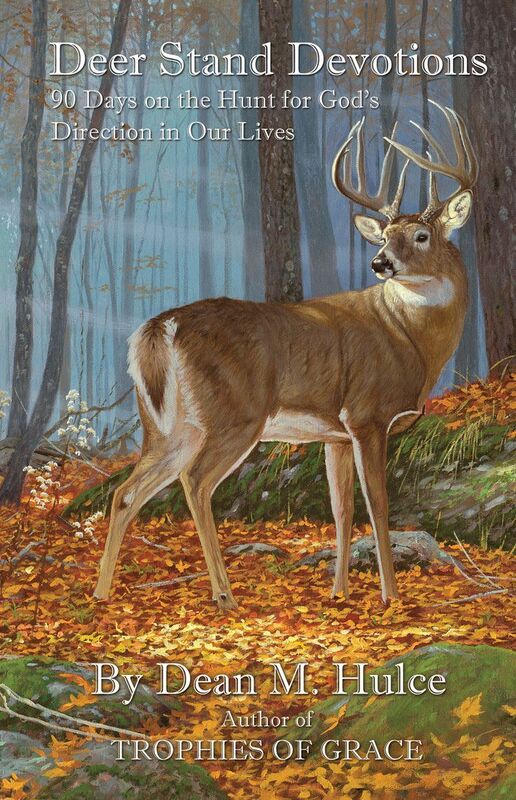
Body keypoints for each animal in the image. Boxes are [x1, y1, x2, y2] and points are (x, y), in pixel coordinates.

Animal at [93, 101, 477, 611]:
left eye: (420, 235)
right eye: (385, 235)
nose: (380, 263)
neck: (409, 340)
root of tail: (159, 327)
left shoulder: (336, 434)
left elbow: (342, 508)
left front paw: (339, 591)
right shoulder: (367, 415)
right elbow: (378, 505)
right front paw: (390, 596)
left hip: (166, 426)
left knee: (126, 491)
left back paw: (101, 592)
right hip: (235, 414)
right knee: (196, 483)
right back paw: (224, 594)